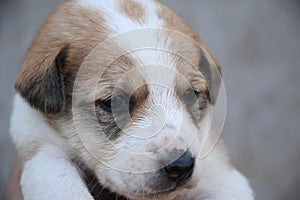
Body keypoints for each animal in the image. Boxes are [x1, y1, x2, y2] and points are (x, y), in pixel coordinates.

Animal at [9, 0, 254, 199]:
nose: (181, 166)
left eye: (191, 94)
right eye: (111, 102)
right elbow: (60, 181)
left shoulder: (219, 169)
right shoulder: (39, 146)